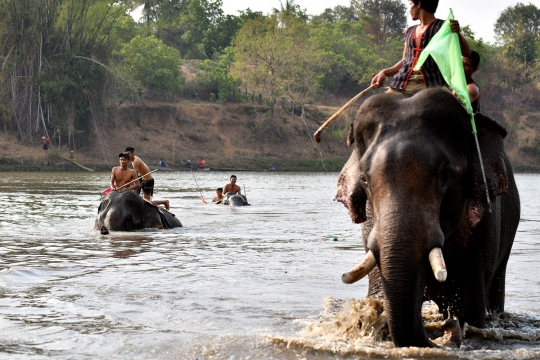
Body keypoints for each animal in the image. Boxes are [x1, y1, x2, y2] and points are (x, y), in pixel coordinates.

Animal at [336, 88, 520, 348]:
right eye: (364, 180)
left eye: (446, 175)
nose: (447, 327)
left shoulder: (485, 223)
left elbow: (470, 307)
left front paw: (459, 321)